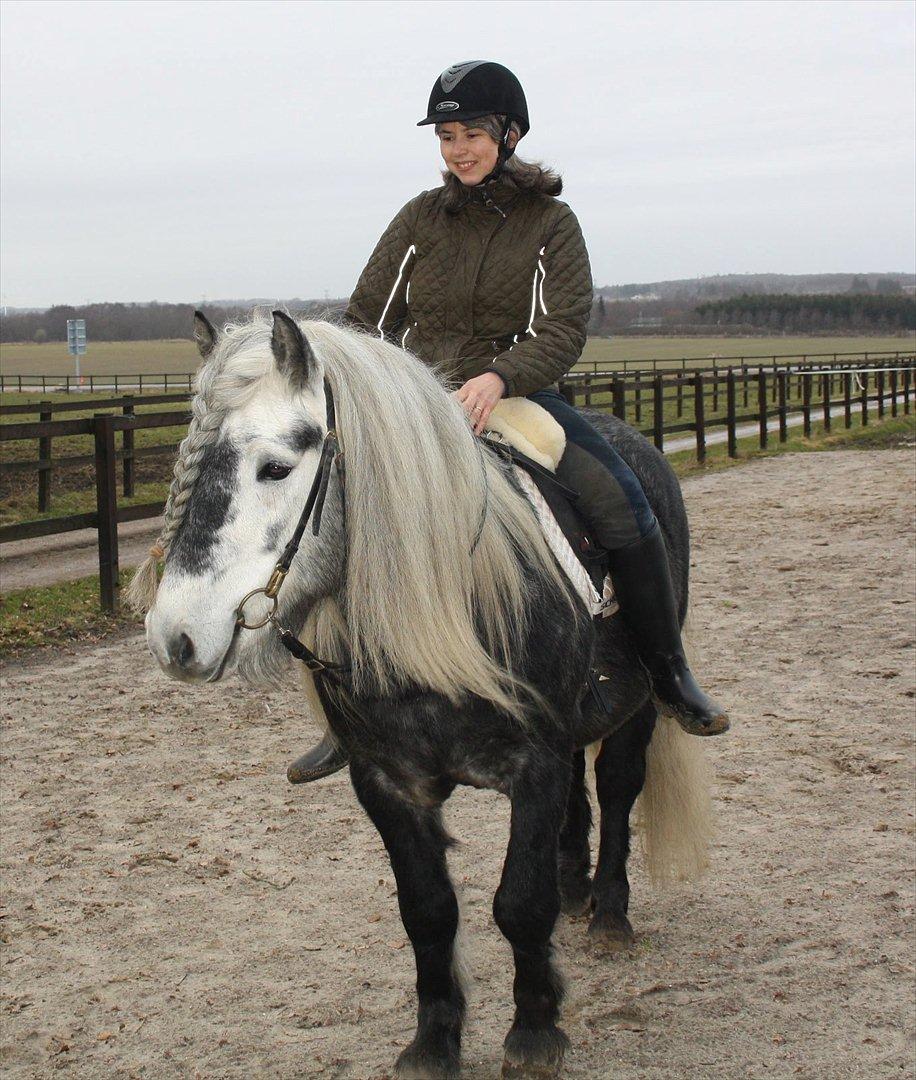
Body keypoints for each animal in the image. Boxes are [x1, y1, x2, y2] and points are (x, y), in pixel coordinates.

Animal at [133, 315, 708, 1080]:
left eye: (276, 468)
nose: (175, 635)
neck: (449, 605)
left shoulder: (536, 764)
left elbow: (519, 903)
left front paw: (534, 1034)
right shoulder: (386, 781)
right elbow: (428, 910)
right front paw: (434, 1043)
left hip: (640, 705)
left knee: (616, 787)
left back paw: (611, 913)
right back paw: (576, 887)